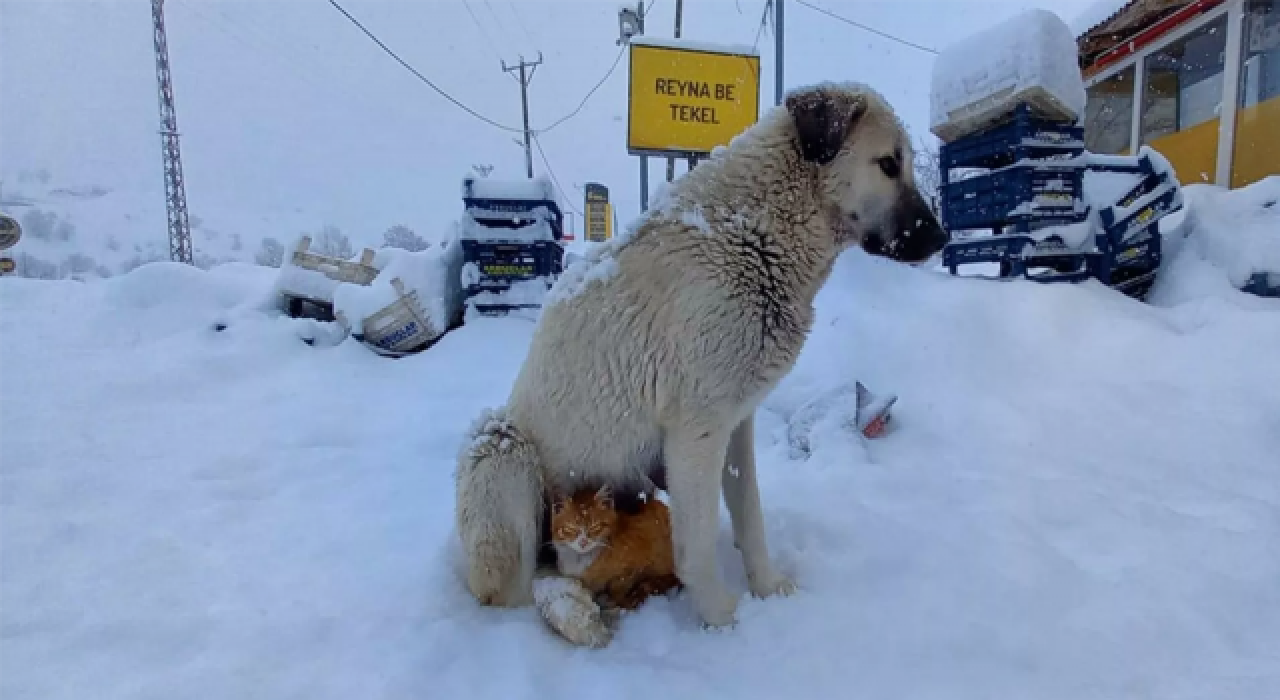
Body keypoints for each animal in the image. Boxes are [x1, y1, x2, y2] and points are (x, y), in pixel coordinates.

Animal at [547, 483, 680, 611]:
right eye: (570, 528)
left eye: (595, 527)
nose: (583, 542)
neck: (581, 559)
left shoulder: (636, 565)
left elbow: (619, 586)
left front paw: (617, 600)